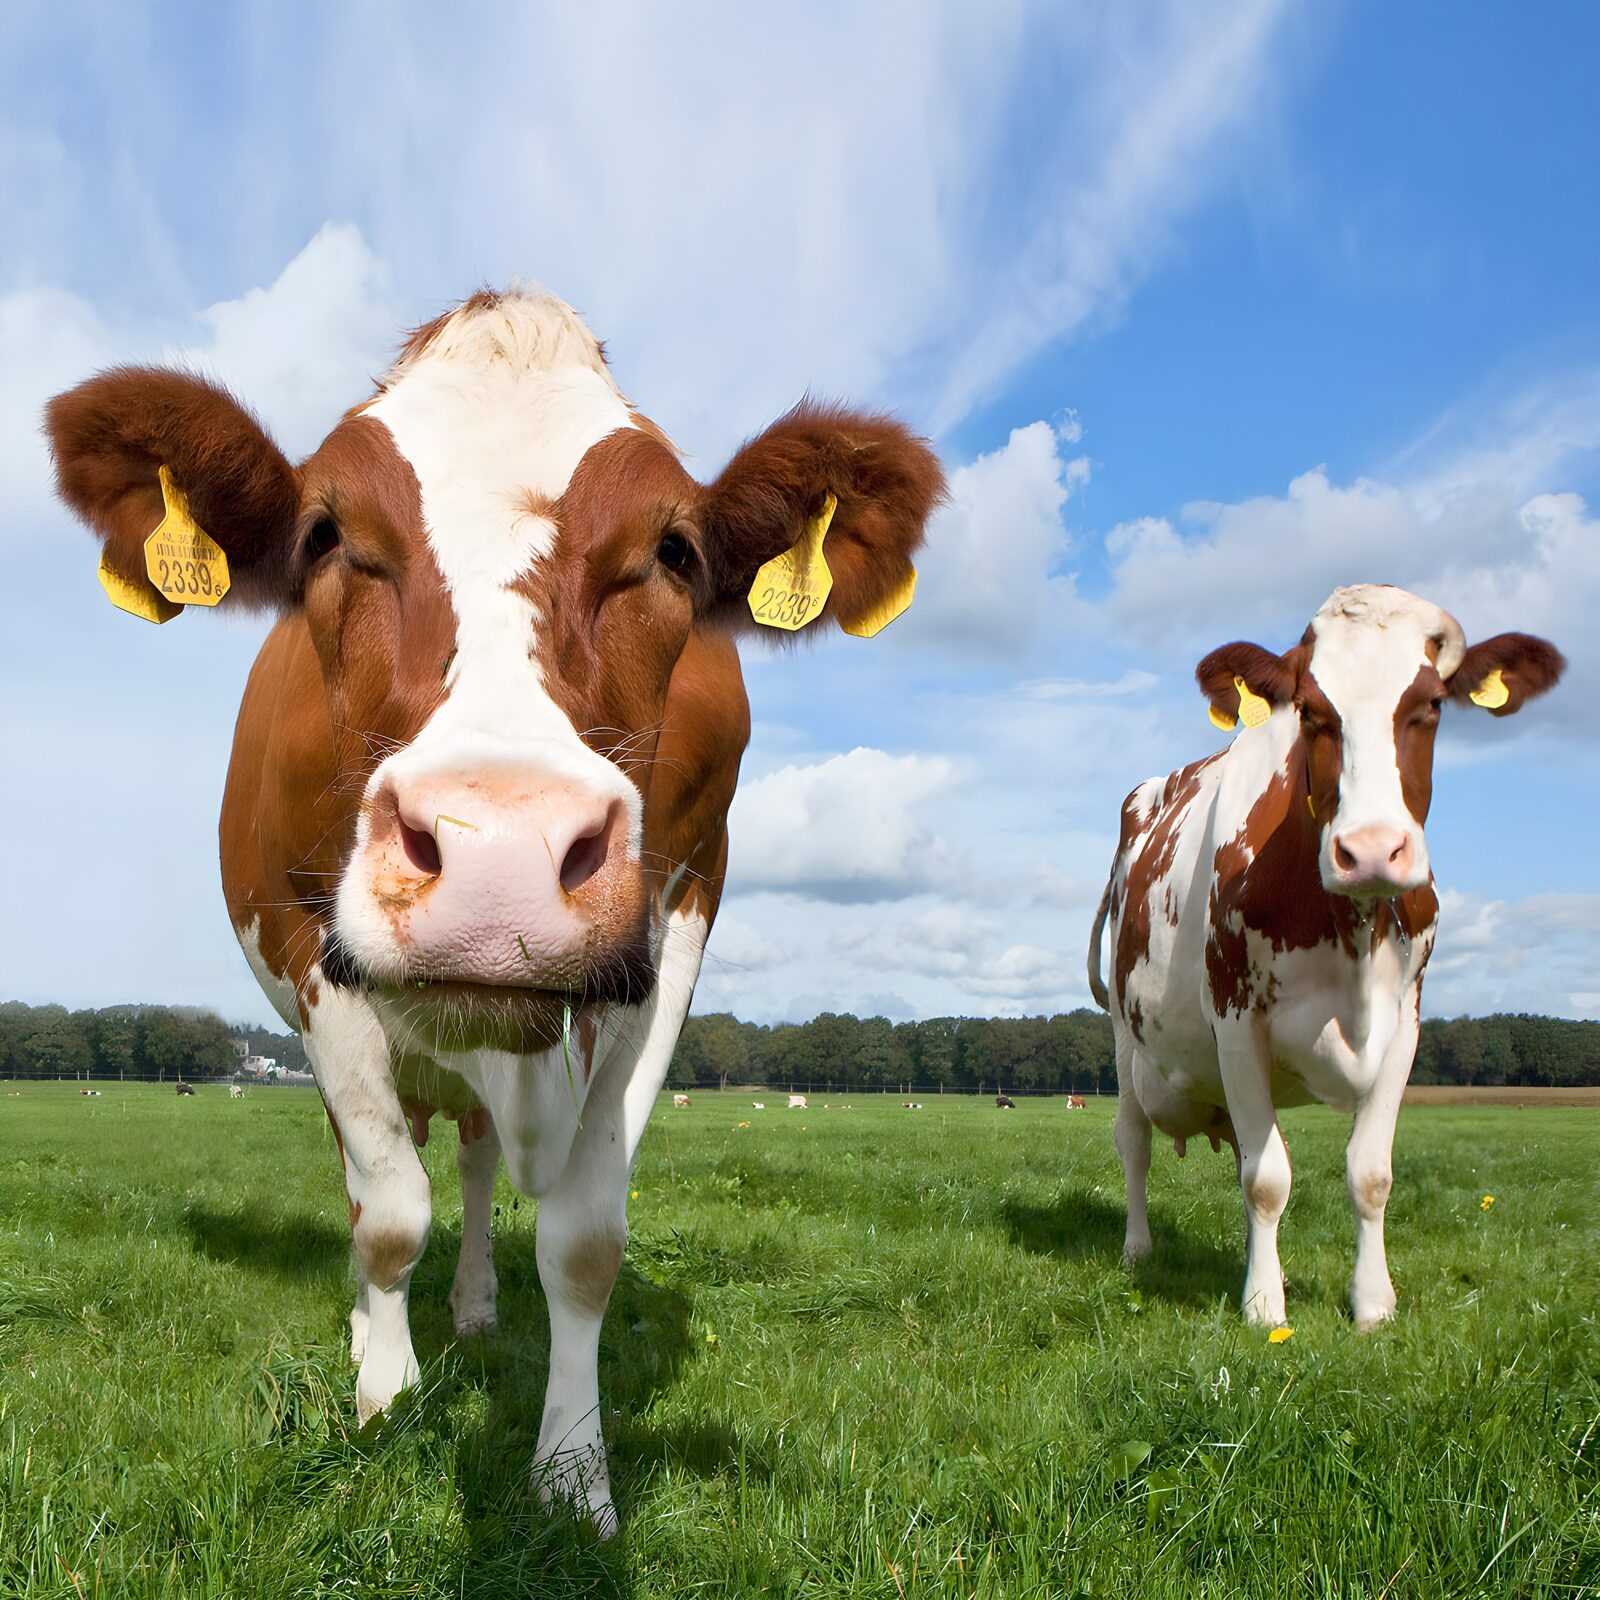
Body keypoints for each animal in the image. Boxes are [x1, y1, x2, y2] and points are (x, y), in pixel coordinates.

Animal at [46, 284, 942, 1532]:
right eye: (324, 535)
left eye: (673, 550)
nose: (498, 859)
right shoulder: (309, 945)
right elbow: (385, 1211)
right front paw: (383, 1399)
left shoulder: (672, 928)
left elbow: (583, 1238)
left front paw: (571, 1474)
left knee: (469, 1157)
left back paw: (471, 1309)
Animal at [1088, 585, 1563, 1330]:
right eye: (1311, 709)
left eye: (1431, 705)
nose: (1369, 850)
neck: (1353, 929)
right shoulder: (1235, 1021)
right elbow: (1266, 1179)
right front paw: (1263, 1307)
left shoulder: (1406, 1025)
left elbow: (1368, 1174)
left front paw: (1372, 1303)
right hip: (1124, 1033)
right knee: (1133, 1139)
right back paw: (1139, 1249)